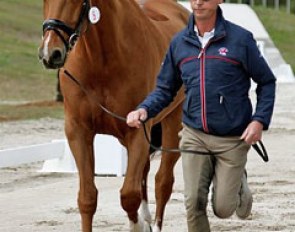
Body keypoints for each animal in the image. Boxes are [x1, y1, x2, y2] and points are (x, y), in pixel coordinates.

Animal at [38, 0, 190, 232]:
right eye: (44, 1)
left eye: (76, 1)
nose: (50, 53)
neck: (102, 61)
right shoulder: (78, 132)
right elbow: (87, 198)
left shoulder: (137, 131)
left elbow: (129, 196)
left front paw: (138, 226)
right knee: (144, 173)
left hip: (173, 126)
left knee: (162, 182)